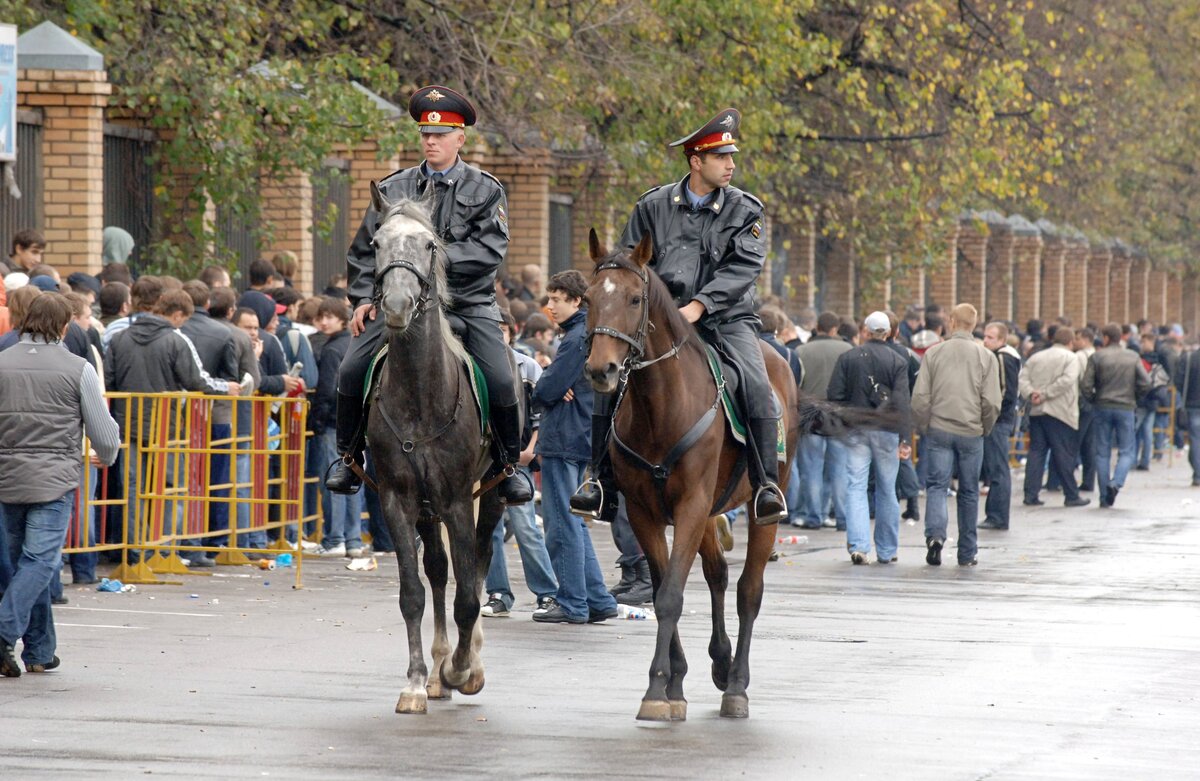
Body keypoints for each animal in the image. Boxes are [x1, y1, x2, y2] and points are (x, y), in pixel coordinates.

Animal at [580, 230, 796, 719]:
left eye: (635, 298)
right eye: (588, 299)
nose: (601, 370)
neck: (659, 408)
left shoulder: (691, 506)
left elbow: (671, 595)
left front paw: (657, 688)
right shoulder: (646, 513)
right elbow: (664, 586)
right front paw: (673, 683)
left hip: (760, 509)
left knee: (748, 590)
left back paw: (736, 685)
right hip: (708, 514)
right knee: (716, 574)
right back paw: (720, 661)